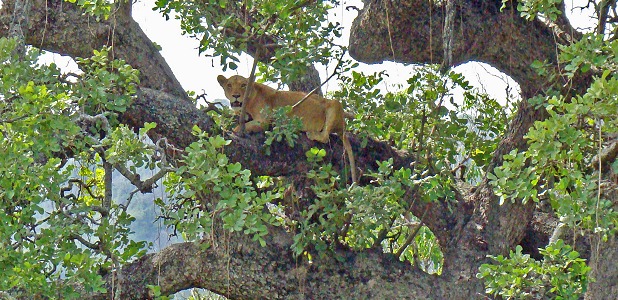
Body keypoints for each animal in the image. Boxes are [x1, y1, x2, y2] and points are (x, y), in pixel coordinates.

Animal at [217, 75, 356, 183]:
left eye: (243, 85)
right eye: (229, 85)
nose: (236, 96)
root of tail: (343, 126)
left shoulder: (264, 120)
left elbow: (243, 126)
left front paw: (231, 131)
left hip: (334, 104)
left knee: (325, 136)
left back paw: (312, 134)